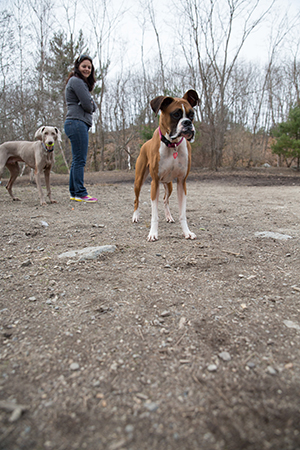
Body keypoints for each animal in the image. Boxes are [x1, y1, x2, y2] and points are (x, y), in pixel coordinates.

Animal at [132, 89, 198, 241]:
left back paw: (168, 216)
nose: (187, 123)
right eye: (176, 114)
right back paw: (135, 216)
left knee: (165, 200)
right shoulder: (155, 183)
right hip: (139, 181)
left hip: (169, 185)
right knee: (136, 200)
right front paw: (153, 233)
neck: (172, 145)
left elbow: (182, 214)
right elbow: (154, 215)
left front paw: (187, 232)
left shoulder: (181, 182)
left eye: (192, 115)